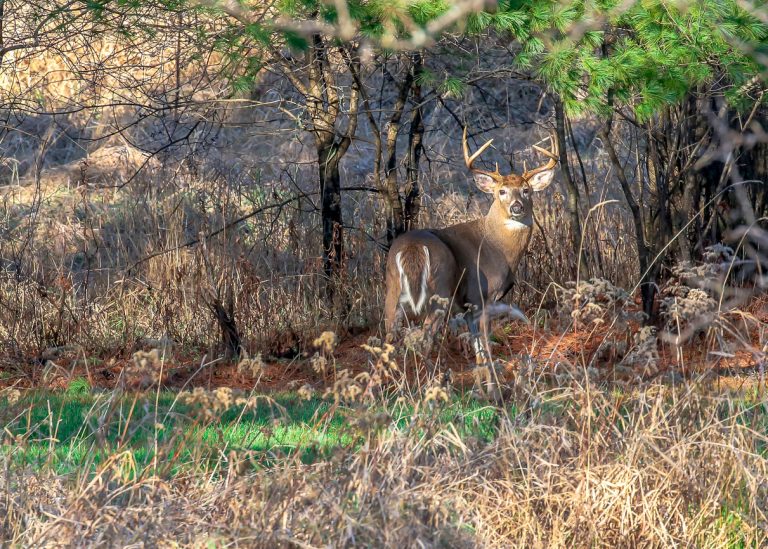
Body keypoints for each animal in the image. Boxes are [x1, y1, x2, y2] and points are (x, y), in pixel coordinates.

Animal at [384, 127, 558, 367]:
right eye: (502, 191)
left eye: (526, 190)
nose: (516, 207)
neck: (499, 248)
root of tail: (413, 248)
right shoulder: (481, 296)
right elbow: (485, 344)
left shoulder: (467, 308)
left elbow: (478, 349)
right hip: (440, 289)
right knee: (425, 337)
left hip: (392, 288)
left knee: (388, 337)